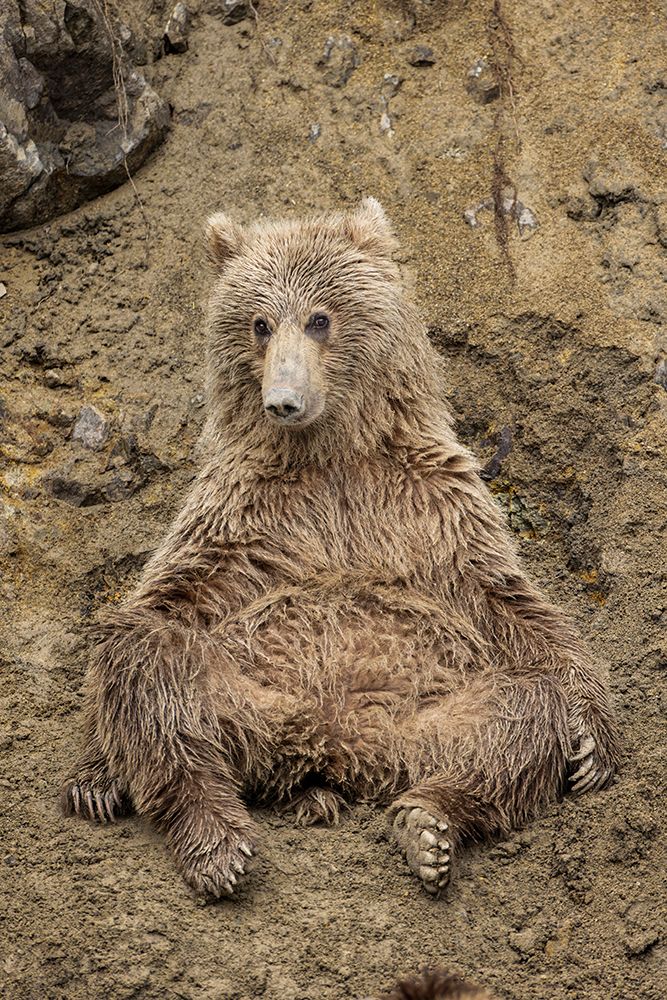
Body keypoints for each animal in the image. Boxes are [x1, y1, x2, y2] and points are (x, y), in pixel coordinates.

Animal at [61, 198, 620, 898]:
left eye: (319, 318)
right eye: (259, 323)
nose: (283, 400)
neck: (331, 455)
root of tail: (337, 747)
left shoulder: (431, 501)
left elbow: (511, 603)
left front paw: (595, 745)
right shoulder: (243, 511)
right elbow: (169, 597)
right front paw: (93, 775)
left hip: (428, 722)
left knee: (521, 713)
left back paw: (426, 825)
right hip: (250, 696)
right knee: (149, 666)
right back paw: (219, 844)